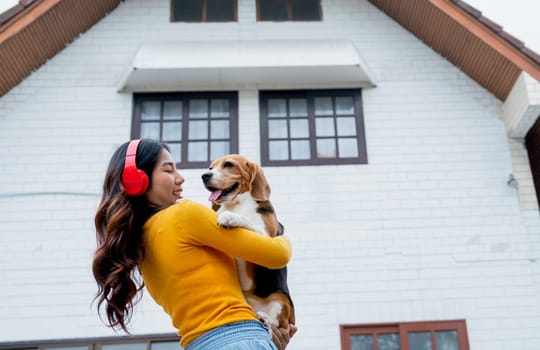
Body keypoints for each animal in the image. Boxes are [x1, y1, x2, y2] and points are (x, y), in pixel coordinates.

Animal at [201, 155, 296, 334]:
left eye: (228, 164)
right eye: (210, 168)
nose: (204, 176)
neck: (236, 204)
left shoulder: (266, 239)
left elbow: (246, 220)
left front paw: (229, 217)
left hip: (280, 299)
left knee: (275, 324)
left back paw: (264, 318)